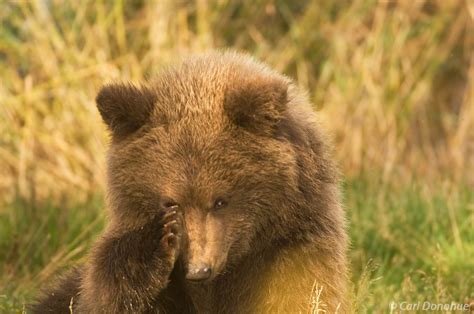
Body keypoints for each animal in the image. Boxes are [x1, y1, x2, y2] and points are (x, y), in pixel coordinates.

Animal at [32, 51, 348, 314]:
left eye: (220, 201)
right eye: (171, 201)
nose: (198, 270)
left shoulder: (289, 251)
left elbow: (304, 295)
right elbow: (109, 289)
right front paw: (158, 237)